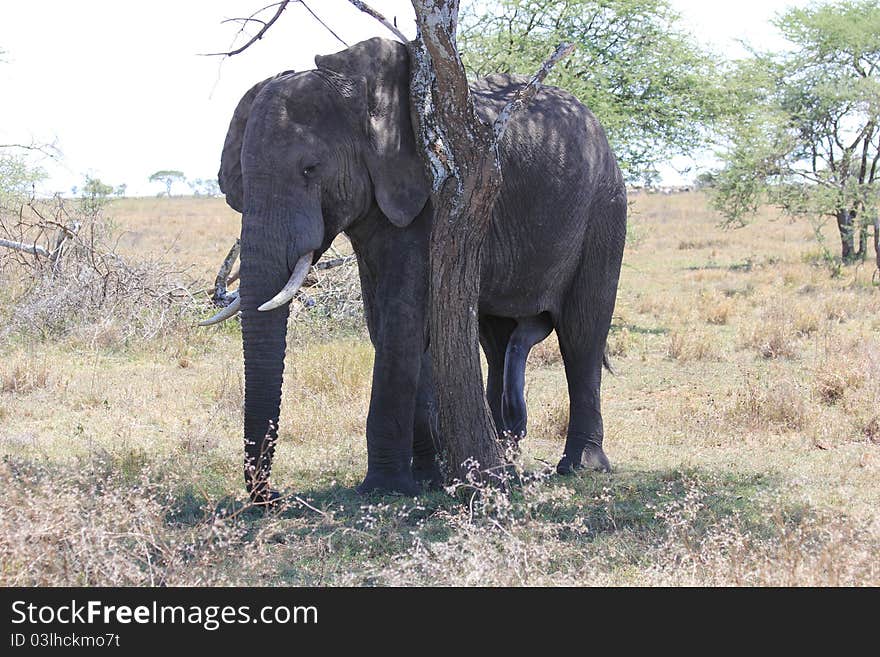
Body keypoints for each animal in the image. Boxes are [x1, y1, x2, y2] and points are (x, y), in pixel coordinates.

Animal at [201, 37, 624, 502]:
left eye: (310, 169)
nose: (273, 496)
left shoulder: (435, 195)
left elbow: (401, 321)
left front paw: (385, 489)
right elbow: (387, 321)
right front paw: (426, 479)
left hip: (605, 208)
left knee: (582, 333)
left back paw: (581, 467)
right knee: (496, 339)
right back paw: (504, 459)